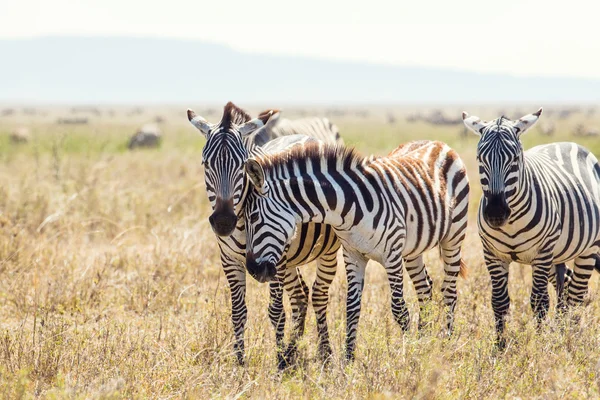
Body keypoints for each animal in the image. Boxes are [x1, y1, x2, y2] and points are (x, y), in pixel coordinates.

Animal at [188, 102, 346, 368]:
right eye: (205, 164)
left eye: (242, 165)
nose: (223, 222)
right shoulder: (230, 260)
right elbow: (238, 312)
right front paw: (240, 363)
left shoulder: (274, 262)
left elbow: (276, 312)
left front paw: (279, 363)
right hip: (289, 261)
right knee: (300, 295)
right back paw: (292, 351)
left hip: (322, 253)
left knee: (319, 296)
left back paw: (323, 354)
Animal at [241, 140, 472, 360]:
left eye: (253, 217)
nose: (252, 269)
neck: (347, 208)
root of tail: (440, 144)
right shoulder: (352, 254)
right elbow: (351, 308)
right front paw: (348, 359)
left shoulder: (392, 254)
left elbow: (399, 308)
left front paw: (410, 353)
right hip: (413, 250)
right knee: (424, 289)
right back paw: (425, 340)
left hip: (454, 237)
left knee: (449, 291)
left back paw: (446, 342)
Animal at [464, 107, 600, 346]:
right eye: (480, 159)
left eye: (516, 159)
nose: (496, 213)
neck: (510, 224)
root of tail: (567, 143)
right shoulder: (491, 253)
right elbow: (499, 301)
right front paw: (500, 345)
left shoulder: (542, 252)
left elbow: (539, 301)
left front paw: (538, 342)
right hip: (557, 255)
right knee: (565, 287)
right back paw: (561, 329)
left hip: (587, 248)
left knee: (576, 294)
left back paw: (570, 336)